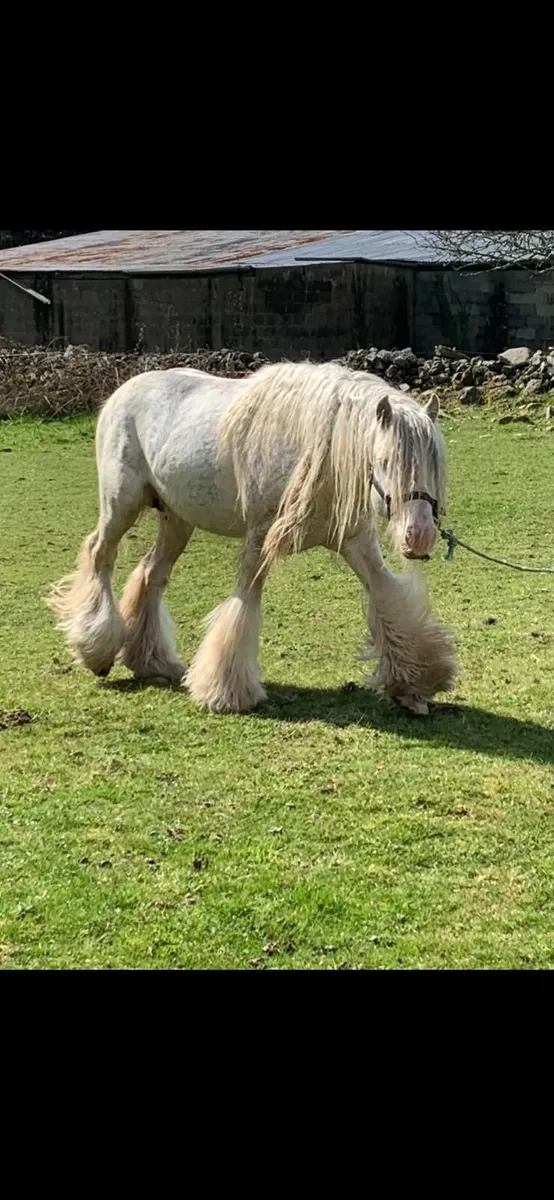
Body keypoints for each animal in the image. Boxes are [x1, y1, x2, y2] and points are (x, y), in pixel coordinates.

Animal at [48, 360, 457, 716]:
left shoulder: (357, 543)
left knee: (151, 574)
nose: (420, 536)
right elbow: (243, 605)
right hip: (121, 506)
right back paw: (96, 648)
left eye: (435, 464)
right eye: (386, 461)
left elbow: (388, 598)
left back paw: (152, 662)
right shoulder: (259, 539)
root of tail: (123, 391)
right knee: (99, 554)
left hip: (176, 520)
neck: (315, 454)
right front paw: (225, 692)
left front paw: (414, 686)